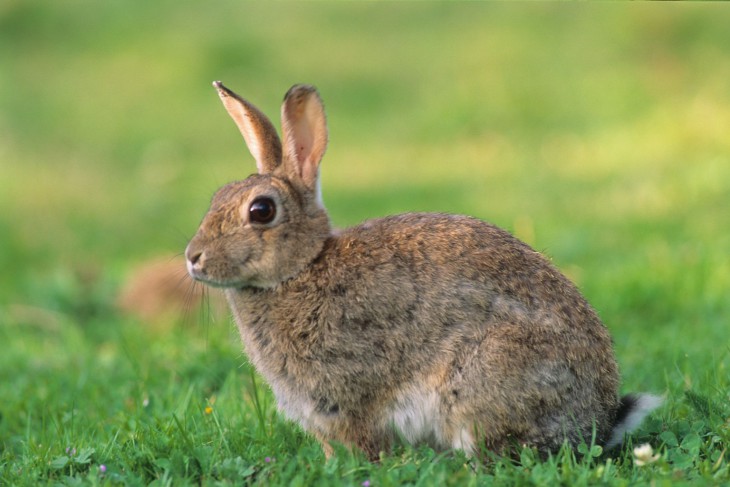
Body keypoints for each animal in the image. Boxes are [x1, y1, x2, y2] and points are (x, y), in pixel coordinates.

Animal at [183, 81, 660, 462]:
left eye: (261, 211)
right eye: (217, 196)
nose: (192, 257)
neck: (301, 269)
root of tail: (598, 421)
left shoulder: (350, 396)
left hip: (482, 385)